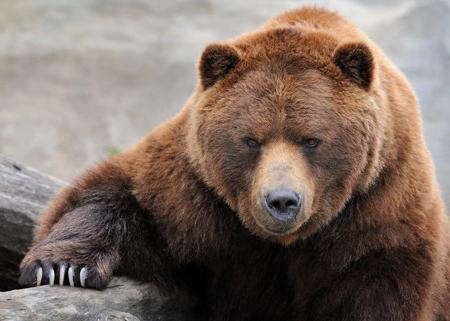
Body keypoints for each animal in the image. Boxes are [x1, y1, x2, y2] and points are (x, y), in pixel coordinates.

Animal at [19, 5, 448, 320]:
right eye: (251, 140)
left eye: (311, 140)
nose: (281, 201)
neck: (282, 243)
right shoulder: (195, 193)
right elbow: (117, 197)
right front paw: (64, 267)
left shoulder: (379, 208)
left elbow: (376, 288)